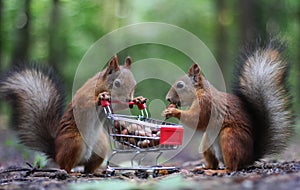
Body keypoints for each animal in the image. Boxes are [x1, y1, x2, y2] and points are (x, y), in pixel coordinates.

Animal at [0, 55, 138, 174]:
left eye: (134, 84)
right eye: (117, 83)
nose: (128, 100)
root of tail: (56, 152)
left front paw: (137, 100)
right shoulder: (84, 95)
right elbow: (86, 103)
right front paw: (101, 97)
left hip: (101, 146)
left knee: (88, 169)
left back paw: (96, 171)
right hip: (73, 143)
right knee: (65, 166)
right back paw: (70, 172)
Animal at [163, 38, 294, 172]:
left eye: (180, 85)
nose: (168, 98)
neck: (200, 91)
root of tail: (250, 157)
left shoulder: (206, 103)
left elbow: (197, 119)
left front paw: (173, 111)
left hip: (230, 138)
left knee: (233, 166)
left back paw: (220, 170)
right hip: (207, 143)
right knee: (214, 163)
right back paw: (204, 168)